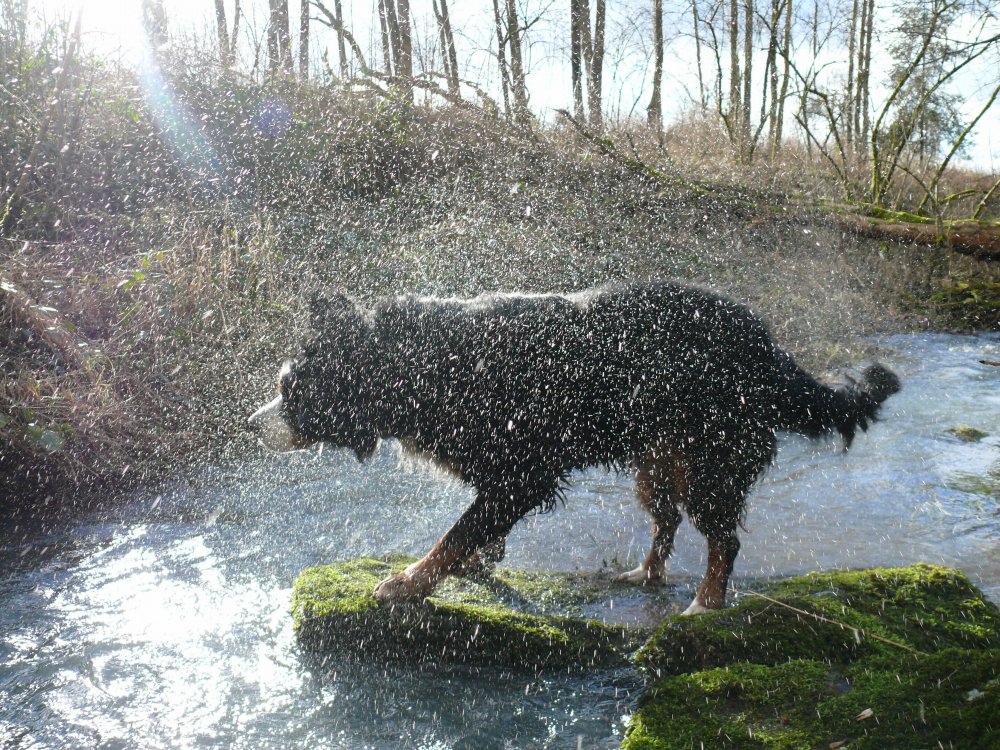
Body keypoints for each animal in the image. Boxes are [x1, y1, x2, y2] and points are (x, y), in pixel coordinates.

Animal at [248, 282, 900, 616]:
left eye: (290, 390)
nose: (252, 425)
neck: (426, 365)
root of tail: (765, 343)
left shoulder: (523, 472)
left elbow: (454, 534)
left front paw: (409, 581)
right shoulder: (498, 473)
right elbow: (476, 530)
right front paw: (479, 562)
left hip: (710, 460)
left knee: (723, 538)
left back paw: (704, 605)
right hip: (657, 461)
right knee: (665, 520)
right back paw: (643, 573)